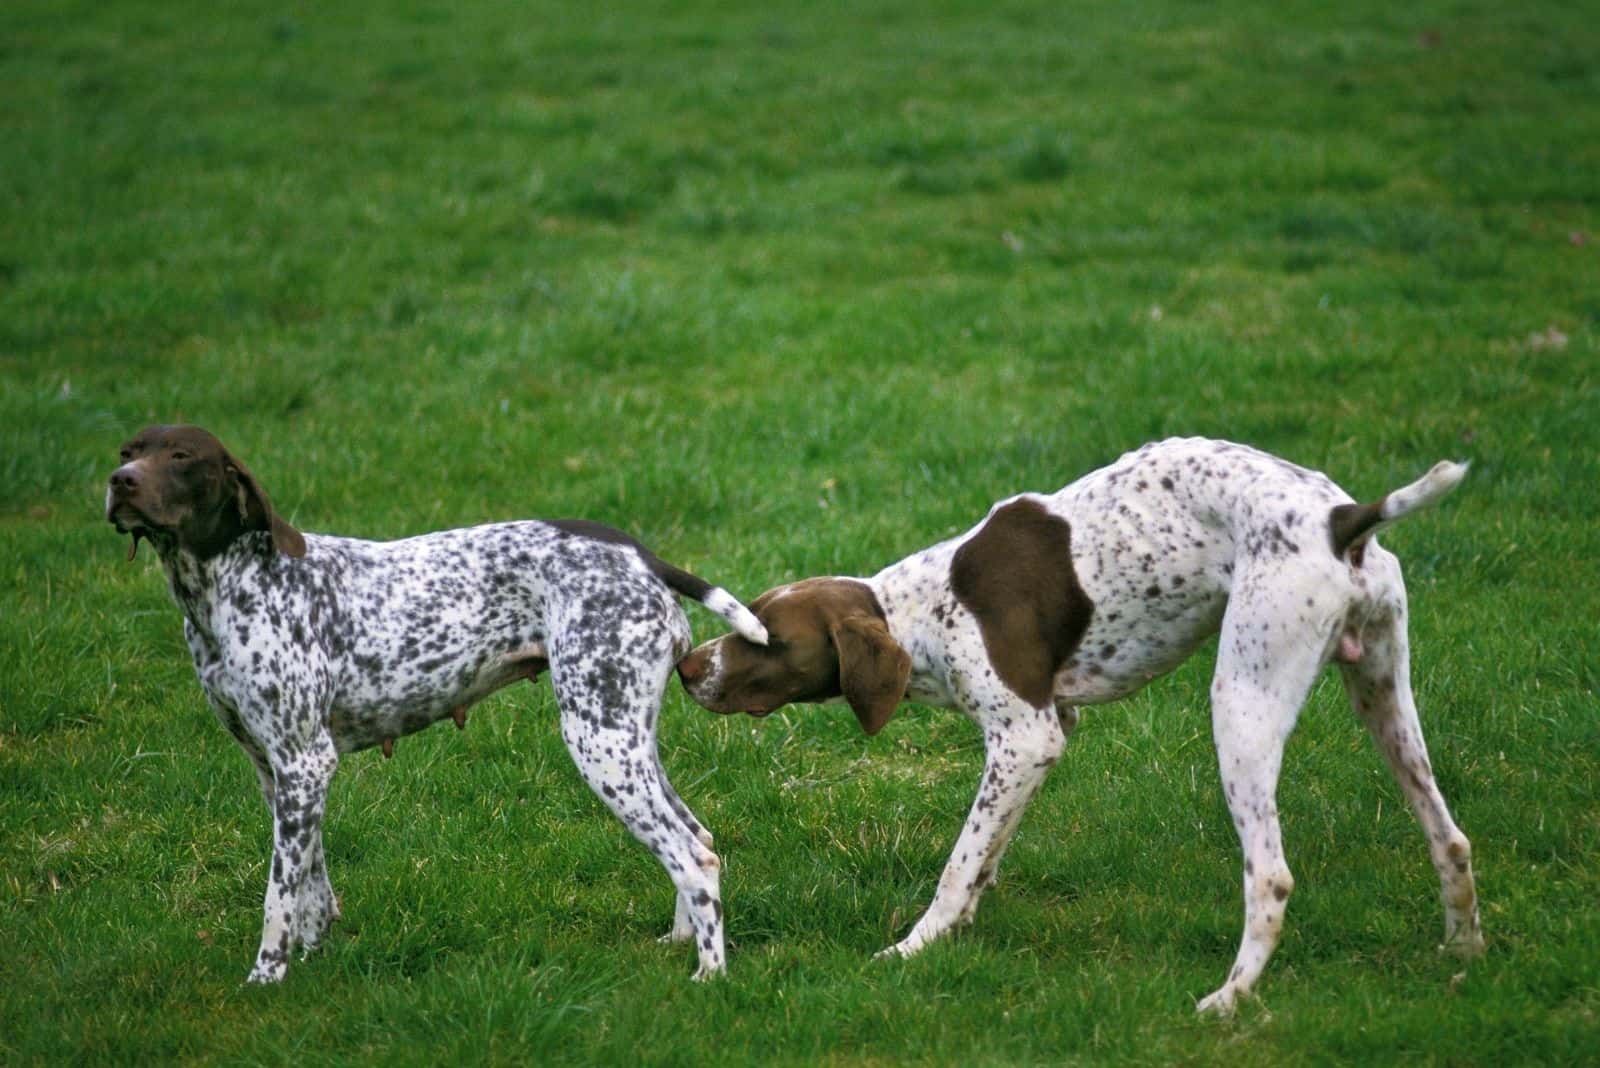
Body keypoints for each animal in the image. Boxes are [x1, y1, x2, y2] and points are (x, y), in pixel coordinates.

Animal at [106, 425, 768, 984]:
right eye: (127, 450)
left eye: (181, 456)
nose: (120, 481)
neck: (229, 587)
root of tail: (639, 555)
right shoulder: (279, 773)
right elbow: (311, 883)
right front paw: (315, 953)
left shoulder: (304, 762)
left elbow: (276, 898)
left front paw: (267, 978)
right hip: (626, 742)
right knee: (698, 838)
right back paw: (681, 941)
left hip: (600, 745)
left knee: (691, 857)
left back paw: (710, 975)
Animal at [678, 438, 1484, 1016]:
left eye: (765, 639)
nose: (686, 667)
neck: (923, 611)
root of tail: (1340, 519)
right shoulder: (1046, 736)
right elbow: (987, 854)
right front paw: (961, 929)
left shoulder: (1024, 738)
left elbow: (958, 863)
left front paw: (916, 947)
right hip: (1383, 697)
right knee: (1450, 838)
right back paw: (1463, 954)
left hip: (1243, 703)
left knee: (1271, 877)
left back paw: (1229, 999)